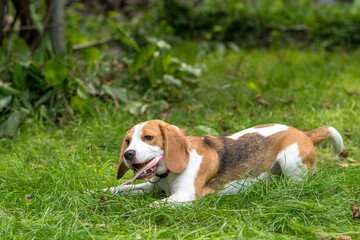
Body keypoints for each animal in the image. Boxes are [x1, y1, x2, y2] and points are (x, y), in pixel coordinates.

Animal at [111, 120, 344, 204]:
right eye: (127, 141)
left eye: (148, 137)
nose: (128, 154)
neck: (168, 174)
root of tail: (302, 132)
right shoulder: (152, 187)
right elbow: (119, 189)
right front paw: (103, 192)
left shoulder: (185, 196)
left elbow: (153, 205)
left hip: (290, 159)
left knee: (302, 182)